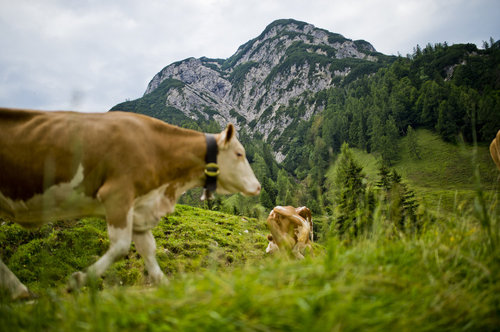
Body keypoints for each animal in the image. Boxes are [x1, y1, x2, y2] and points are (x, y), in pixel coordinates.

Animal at [0, 107, 262, 300]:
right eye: (239, 153)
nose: (258, 186)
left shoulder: (140, 208)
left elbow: (149, 250)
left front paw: (166, 287)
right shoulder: (118, 194)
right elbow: (120, 247)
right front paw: (77, 281)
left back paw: (21, 292)